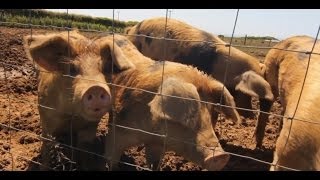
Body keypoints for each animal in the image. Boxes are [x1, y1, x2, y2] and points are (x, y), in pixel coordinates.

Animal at [24, 31, 114, 170]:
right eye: (72, 68)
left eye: (104, 69)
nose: (96, 88)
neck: (71, 115)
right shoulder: (46, 120)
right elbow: (46, 150)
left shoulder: (90, 127)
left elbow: (84, 153)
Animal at [94, 34, 240, 171]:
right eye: (190, 115)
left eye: (211, 113)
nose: (220, 156)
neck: (151, 133)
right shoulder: (119, 131)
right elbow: (111, 156)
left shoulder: (156, 145)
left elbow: (154, 163)